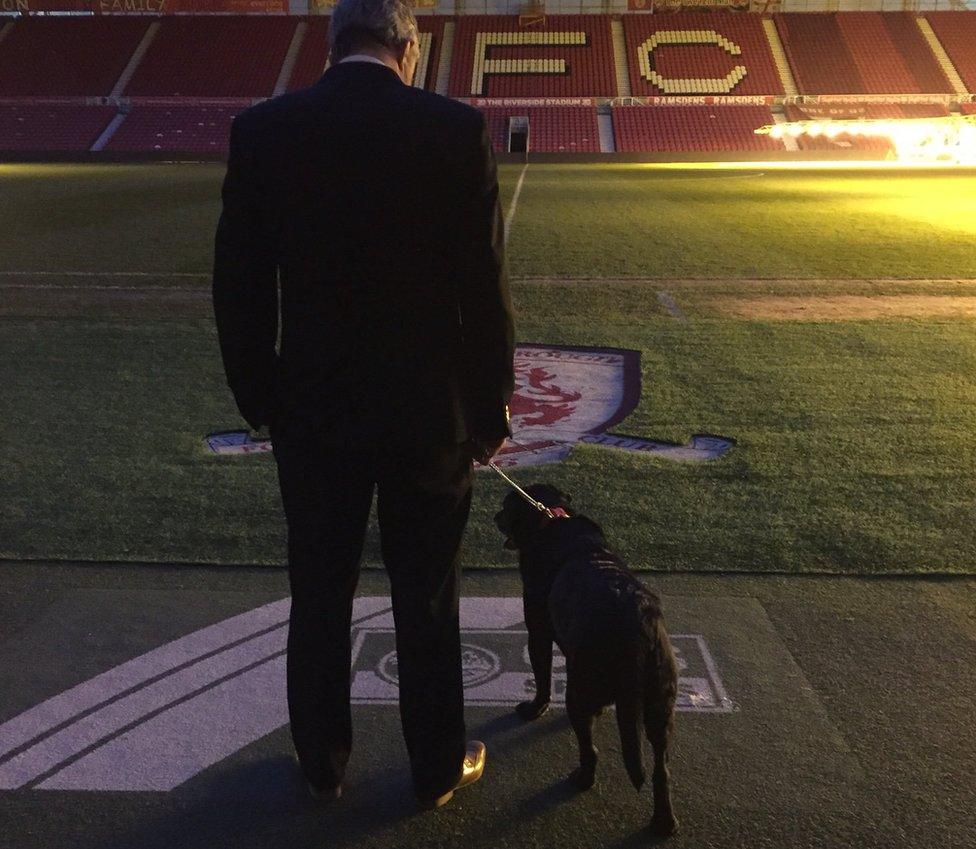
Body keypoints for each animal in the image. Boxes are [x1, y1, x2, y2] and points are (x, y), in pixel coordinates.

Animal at [496, 484, 680, 836]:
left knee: (589, 747)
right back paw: (664, 822)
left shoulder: (538, 631)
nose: (495, 516)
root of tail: (636, 626)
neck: (550, 520)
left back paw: (582, 778)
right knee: (661, 768)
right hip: (659, 704)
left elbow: (541, 676)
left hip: (580, 692)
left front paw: (534, 709)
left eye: (505, 506)